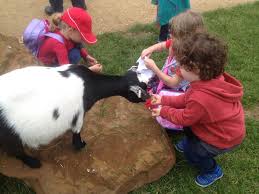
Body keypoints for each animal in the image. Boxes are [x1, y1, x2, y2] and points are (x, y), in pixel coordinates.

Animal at [0, 64, 150, 168]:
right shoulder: (79, 113)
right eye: (144, 87)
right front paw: (81, 145)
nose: (149, 98)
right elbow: (76, 133)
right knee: (15, 151)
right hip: (11, 135)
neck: (90, 84)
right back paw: (34, 163)